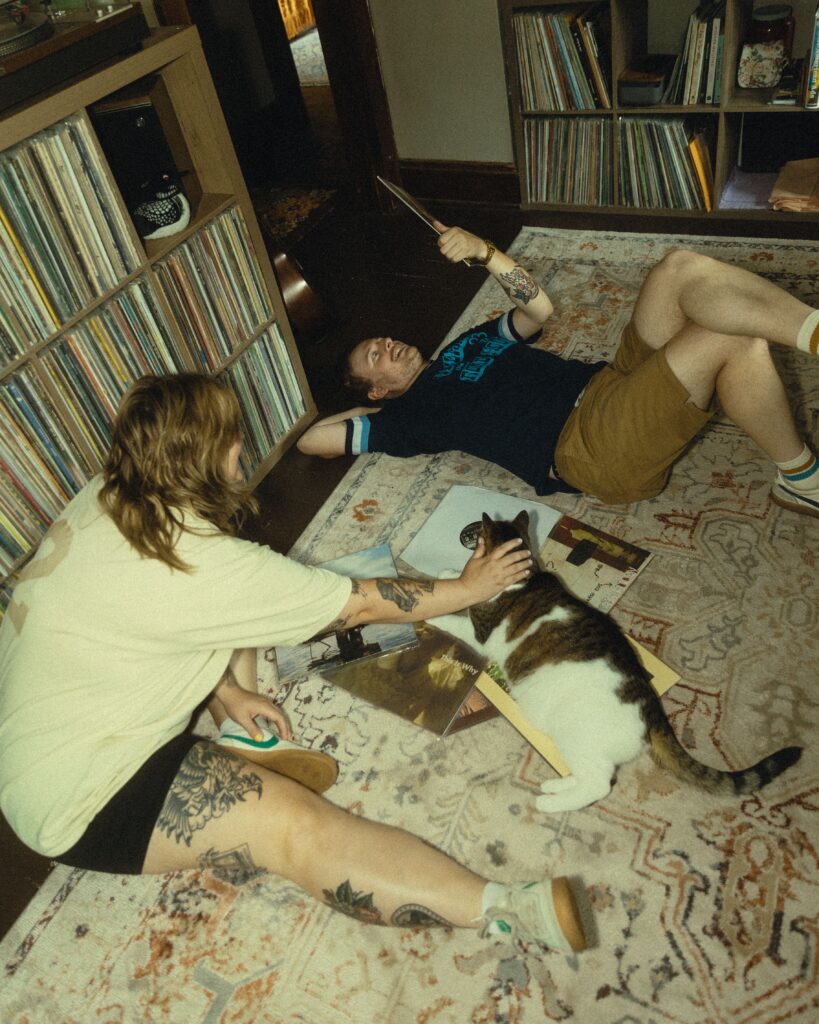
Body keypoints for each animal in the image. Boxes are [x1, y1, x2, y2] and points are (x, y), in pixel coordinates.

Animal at [432, 507, 802, 811]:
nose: (467, 538)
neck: (525, 575)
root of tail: (651, 707)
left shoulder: (480, 633)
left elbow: (455, 618)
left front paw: (433, 610)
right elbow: (460, 586)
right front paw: (449, 575)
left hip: (576, 732)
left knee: (600, 784)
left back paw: (548, 803)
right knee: (593, 776)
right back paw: (556, 786)